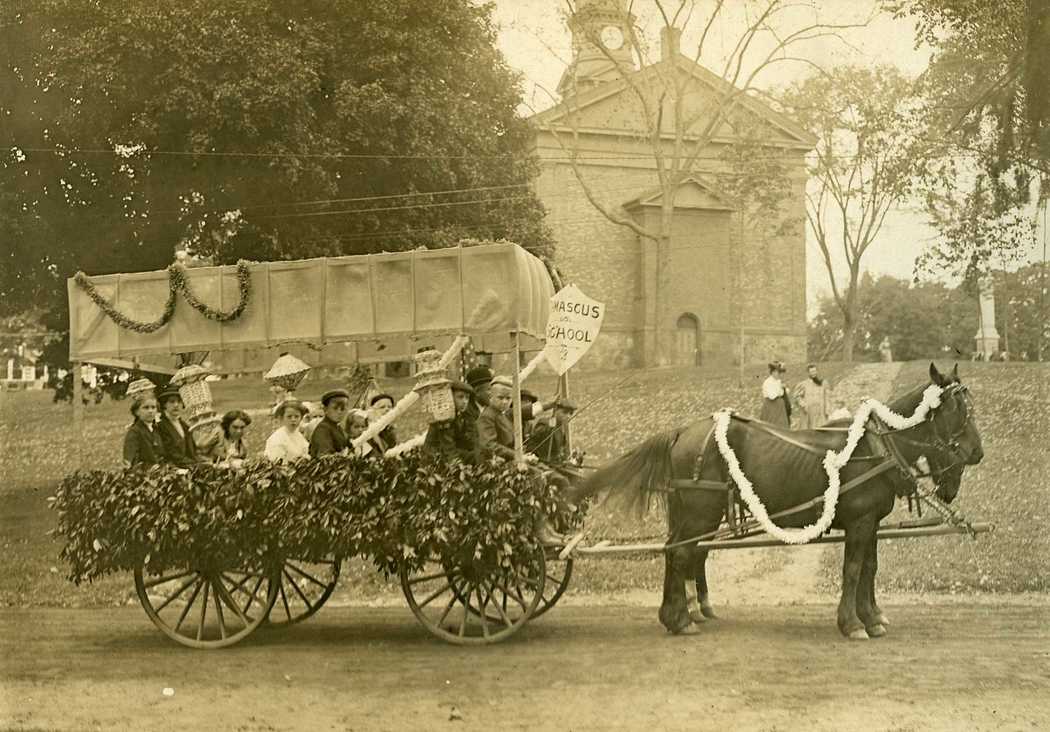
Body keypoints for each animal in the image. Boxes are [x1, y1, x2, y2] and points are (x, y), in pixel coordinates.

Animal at [583, 363, 982, 638]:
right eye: (955, 409)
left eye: (971, 406)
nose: (977, 452)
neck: (874, 446)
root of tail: (682, 431)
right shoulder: (860, 522)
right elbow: (853, 570)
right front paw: (852, 623)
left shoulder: (870, 523)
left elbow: (869, 569)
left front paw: (872, 617)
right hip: (700, 512)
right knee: (682, 554)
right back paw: (681, 619)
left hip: (690, 514)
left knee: (676, 552)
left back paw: (676, 615)